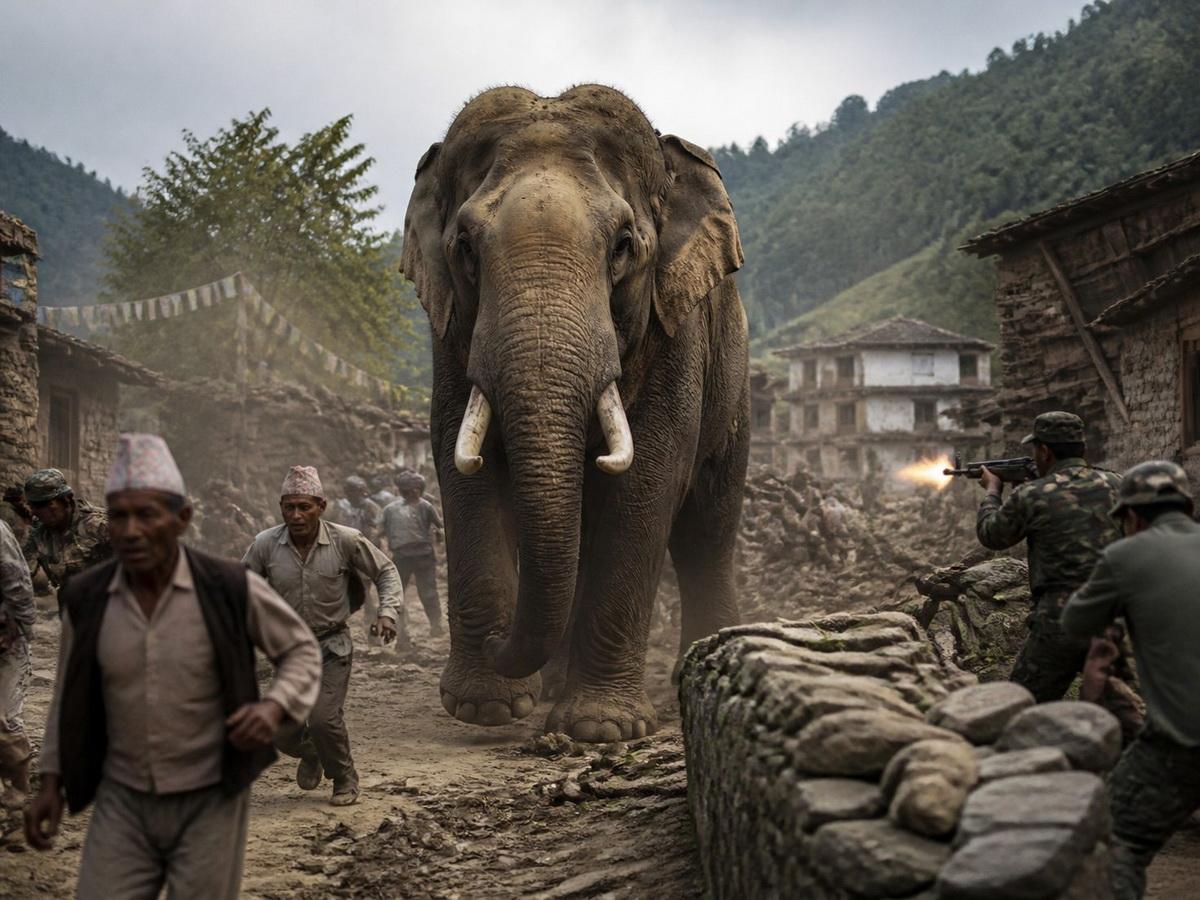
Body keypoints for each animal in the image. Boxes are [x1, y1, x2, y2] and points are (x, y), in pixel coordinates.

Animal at [401, 84, 750, 742]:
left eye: (623, 246)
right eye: (464, 248)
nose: (496, 640)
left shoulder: (675, 330)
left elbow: (648, 479)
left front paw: (601, 729)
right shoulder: (450, 334)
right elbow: (464, 464)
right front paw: (486, 709)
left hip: (735, 391)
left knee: (707, 528)